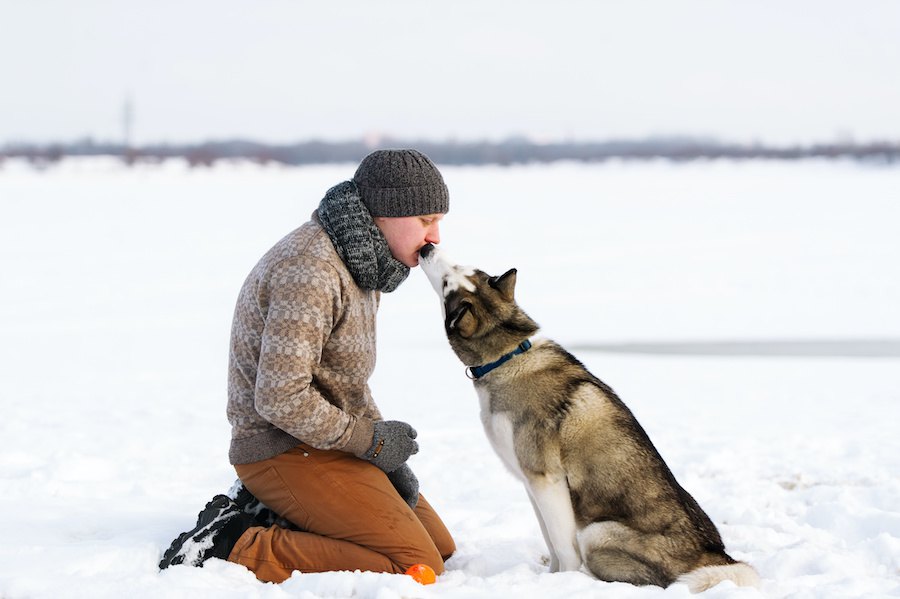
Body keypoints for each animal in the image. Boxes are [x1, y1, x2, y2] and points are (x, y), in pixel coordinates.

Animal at [418, 245, 756, 596]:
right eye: (459, 271)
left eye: (448, 282)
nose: (427, 247)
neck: (506, 357)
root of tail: (717, 557)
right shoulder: (532, 483)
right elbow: (551, 543)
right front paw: (550, 578)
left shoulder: (546, 479)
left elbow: (563, 548)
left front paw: (563, 582)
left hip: (598, 532)